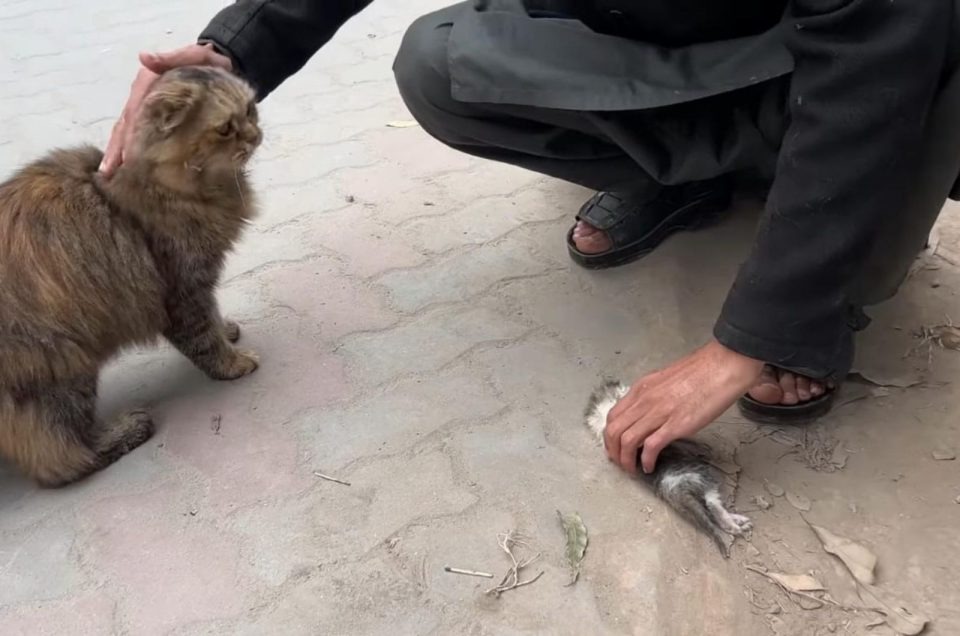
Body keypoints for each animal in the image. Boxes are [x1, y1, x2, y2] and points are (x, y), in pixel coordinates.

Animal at [0, 66, 262, 486]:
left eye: (251, 109)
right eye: (225, 128)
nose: (256, 134)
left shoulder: (196, 286)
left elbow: (214, 320)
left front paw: (227, 331)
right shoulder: (182, 289)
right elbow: (204, 340)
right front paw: (233, 362)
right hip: (63, 367)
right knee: (57, 458)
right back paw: (126, 431)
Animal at [580, 380, 752, 556]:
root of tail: (674, 487)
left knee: (709, 508)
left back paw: (738, 522)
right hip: (702, 478)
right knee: (712, 505)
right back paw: (735, 524)